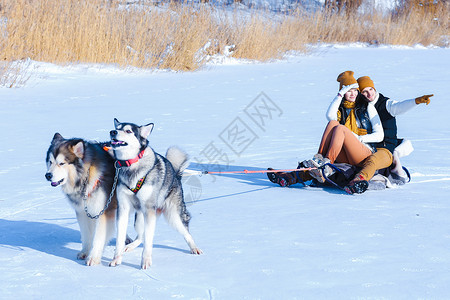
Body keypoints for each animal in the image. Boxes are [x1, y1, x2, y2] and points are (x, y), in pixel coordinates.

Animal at [45, 133, 118, 264]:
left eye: (61, 163)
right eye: (50, 161)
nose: (48, 175)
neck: (85, 177)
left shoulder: (103, 212)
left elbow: (99, 236)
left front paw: (93, 257)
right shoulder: (82, 212)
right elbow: (86, 234)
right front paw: (85, 252)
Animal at [109, 118, 202, 270]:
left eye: (128, 130)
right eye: (117, 128)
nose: (112, 132)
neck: (132, 165)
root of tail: (176, 175)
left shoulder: (149, 210)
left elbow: (148, 241)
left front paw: (146, 260)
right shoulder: (123, 209)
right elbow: (120, 238)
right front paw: (117, 258)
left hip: (173, 216)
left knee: (186, 231)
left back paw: (194, 247)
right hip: (140, 218)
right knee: (140, 235)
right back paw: (130, 246)